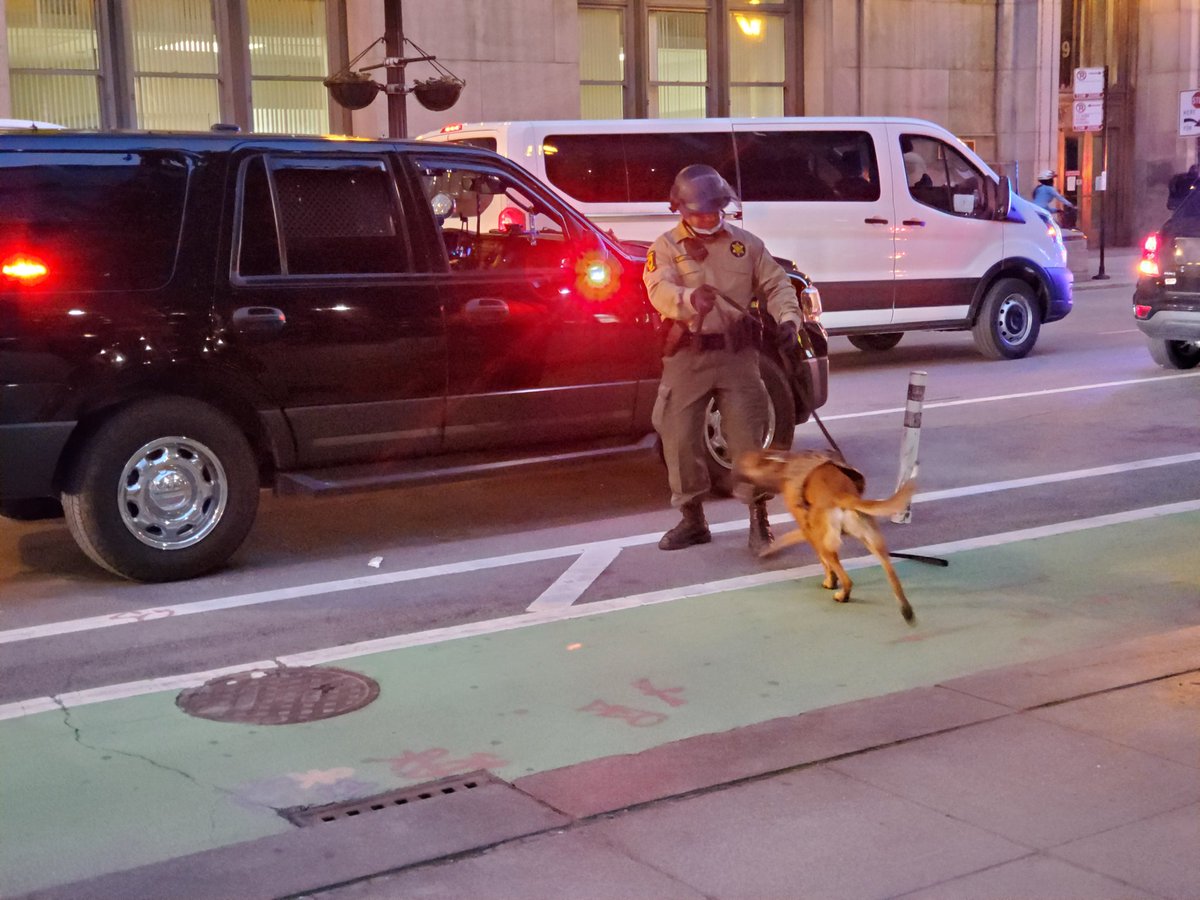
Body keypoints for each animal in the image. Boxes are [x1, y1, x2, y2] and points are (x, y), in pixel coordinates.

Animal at [729, 448, 916, 624]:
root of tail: (844, 496)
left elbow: (824, 564)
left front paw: (830, 582)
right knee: (893, 576)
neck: (782, 464)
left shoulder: (808, 530)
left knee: (846, 578)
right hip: (874, 542)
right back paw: (906, 610)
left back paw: (842, 596)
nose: (732, 468)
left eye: (743, 461)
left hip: (827, 545)